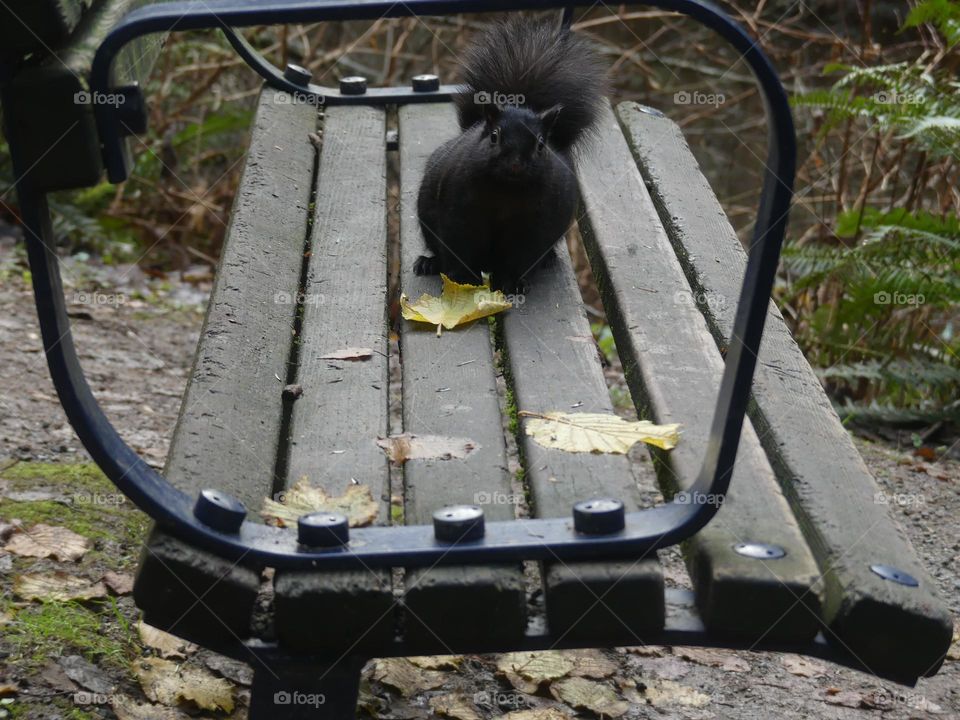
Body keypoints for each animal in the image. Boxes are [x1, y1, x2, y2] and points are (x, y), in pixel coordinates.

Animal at [414, 14, 609, 294]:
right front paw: (461, 279)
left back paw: (547, 260)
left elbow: (519, 257)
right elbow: (460, 249)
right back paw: (429, 263)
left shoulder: (532, 228)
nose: (516, 164)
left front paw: (511, 283)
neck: (506, 192)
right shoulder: (457, 215)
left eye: (540, 145)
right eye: (494, 137)